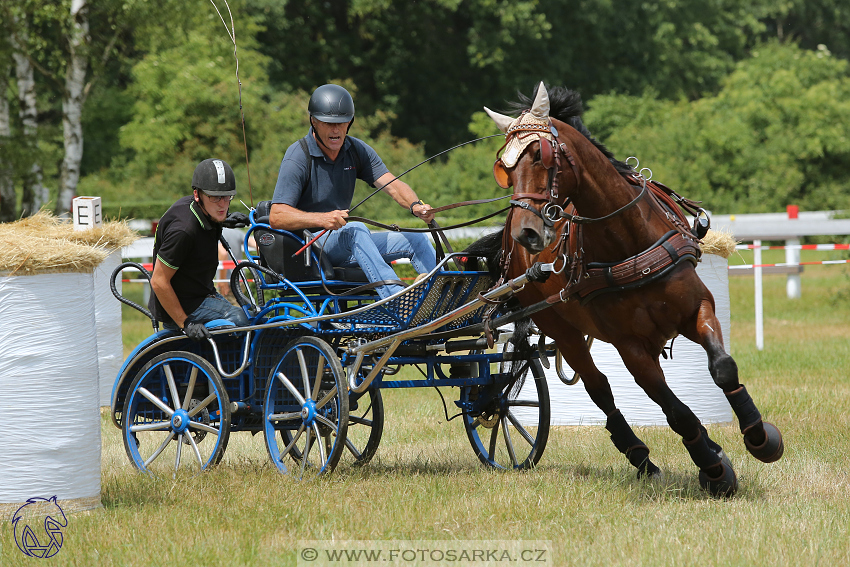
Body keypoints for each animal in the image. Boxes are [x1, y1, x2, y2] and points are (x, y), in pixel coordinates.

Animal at [474, 83, 780, 496]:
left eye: (540, 155)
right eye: (504, 169)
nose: (528, 233)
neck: (628, 242)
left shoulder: (697, 308)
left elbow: (723, 368)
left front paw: (759, 437)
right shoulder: (630, 345)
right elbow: (675, 410)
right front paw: (714, 468)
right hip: (562, 329)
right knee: (599, 388)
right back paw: (642, 458)